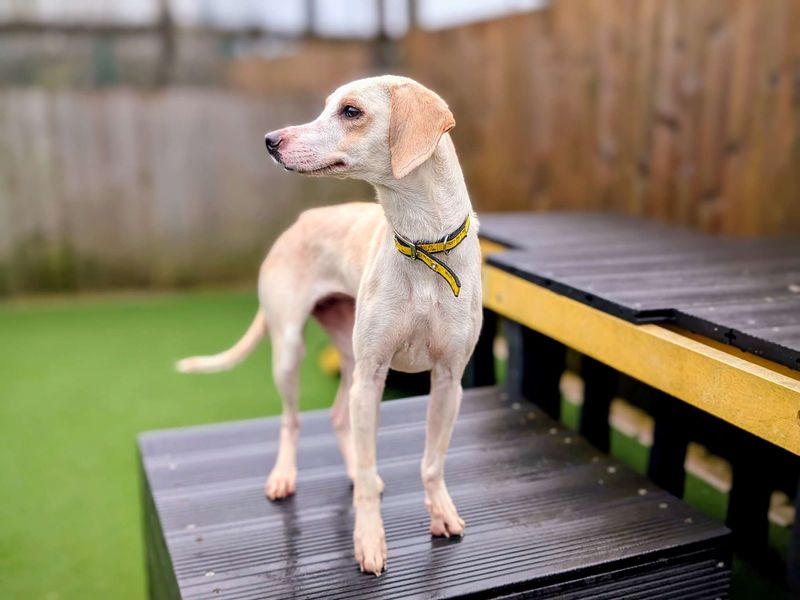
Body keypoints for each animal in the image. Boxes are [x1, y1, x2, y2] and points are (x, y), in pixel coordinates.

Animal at [177, 76, 482, 576]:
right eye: (326, 108)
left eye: (351, 111)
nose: (270, 140)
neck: (422, 245)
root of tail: (297, 225)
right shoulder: (373, 377)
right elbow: (367, 471)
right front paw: (369, 540)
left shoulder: (448, 380)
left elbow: (432, 463)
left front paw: (441, 513)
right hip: (292, 353)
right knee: (293, 421)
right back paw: (285, 475)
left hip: (351, 361)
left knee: (341, 420)